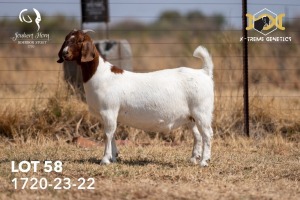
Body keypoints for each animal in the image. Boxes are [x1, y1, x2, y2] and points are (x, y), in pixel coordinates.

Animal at [57, 29, 214, 166]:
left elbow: (107, 134)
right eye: (66, 39)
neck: (101, 75)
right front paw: (114, 157)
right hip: (191, 116)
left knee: (207, 134)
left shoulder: (109, 110)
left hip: (202, 111)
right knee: (197, 135)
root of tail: (204, 72)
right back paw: (193, 159)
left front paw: (105, 159)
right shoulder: (110, 115)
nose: (64, 53)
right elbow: (113, 133)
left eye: (79, 41)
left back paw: (204, 161)